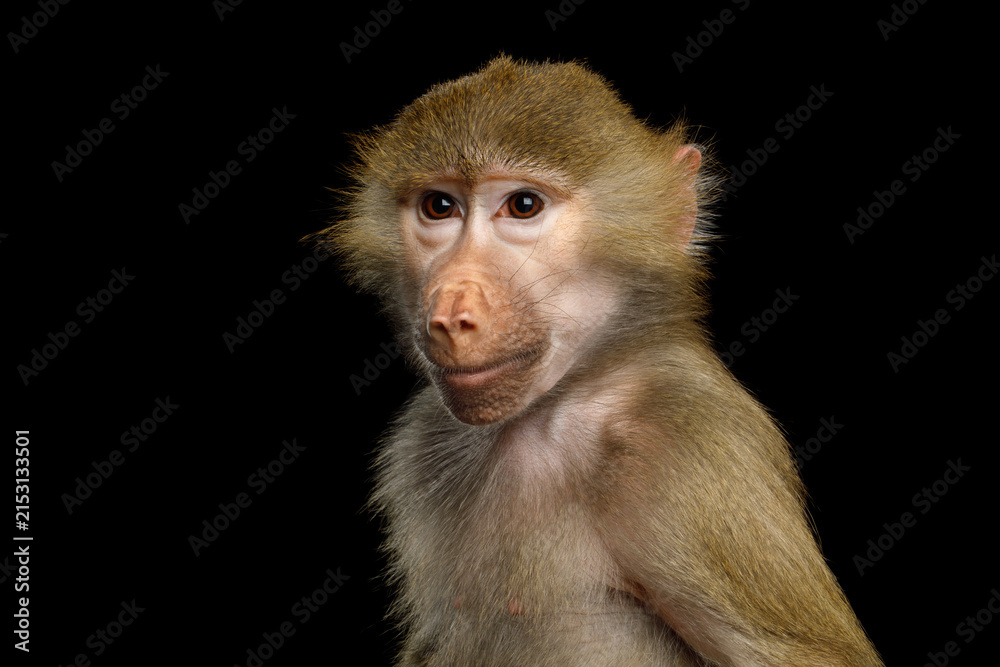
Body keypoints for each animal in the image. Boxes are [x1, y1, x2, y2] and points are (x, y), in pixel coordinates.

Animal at [316, 56, 882, 665]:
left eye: (523, 205)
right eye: (439, 207)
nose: (449, 313)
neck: (570, 401)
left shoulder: (687, 449)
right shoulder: (422, 443)